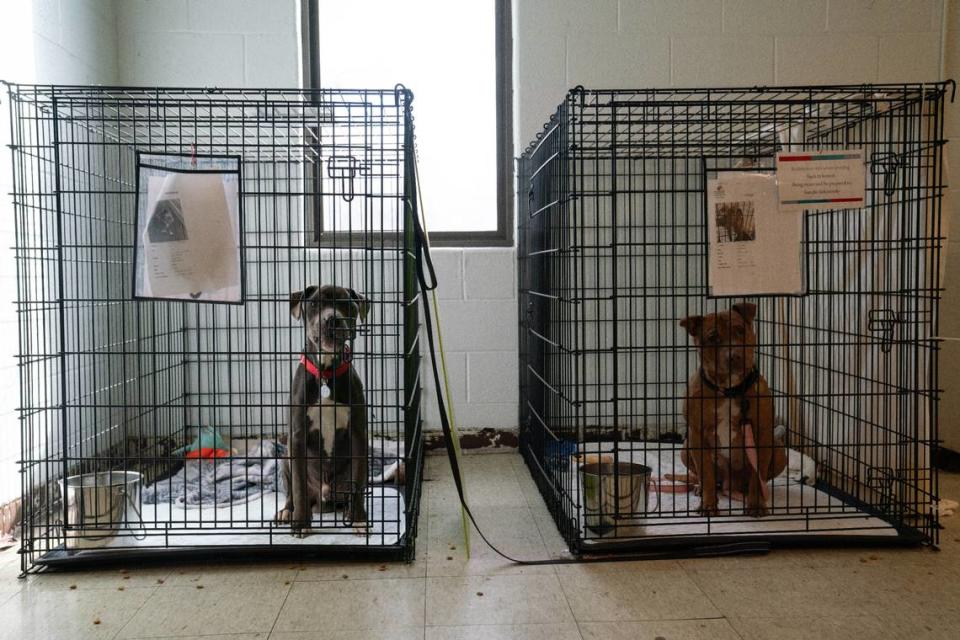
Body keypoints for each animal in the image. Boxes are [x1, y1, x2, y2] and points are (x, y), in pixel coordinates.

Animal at [278, 284, 372, 536]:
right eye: (313, 304)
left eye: (347, 304)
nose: (332, 320)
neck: (326, 372)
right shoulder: (297, 437)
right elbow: (299, 487)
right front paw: (301, 523)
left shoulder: (358, 435)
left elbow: (358, 485)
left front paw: (359, 520)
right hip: (285, 458)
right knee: (292, 491)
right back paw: (287, 512)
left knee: (350, 490)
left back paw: (348, 511)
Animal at [676, 302, 788, 516]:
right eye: (712, 338)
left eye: (740, 330)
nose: (734, 356)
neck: (729, 390)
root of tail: (731, 484)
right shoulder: (696, 434)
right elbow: (706, 474)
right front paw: (708, 505)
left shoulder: (761, 434)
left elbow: (757, 476)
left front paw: (756, 505)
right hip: (686, 447)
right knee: (706, 478)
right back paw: (701, 488)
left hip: (778, 450)